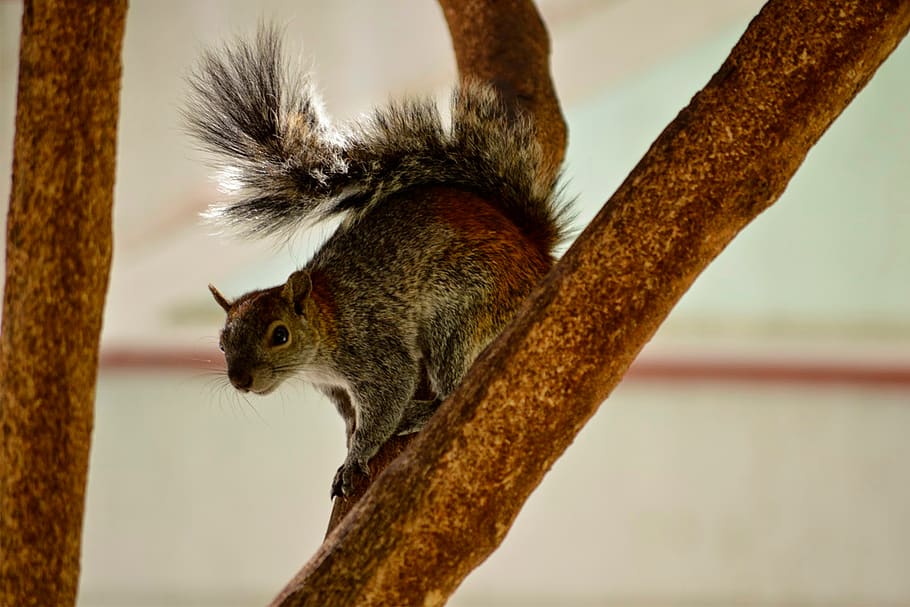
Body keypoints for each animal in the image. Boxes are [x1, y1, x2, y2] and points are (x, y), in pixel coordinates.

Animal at [185, 26, 570, 498]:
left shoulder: (373, 350)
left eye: (280, 335)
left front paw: (356, 458)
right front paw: (352, 436)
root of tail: (534, 253)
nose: (240, 381)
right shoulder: (331, 386)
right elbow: (351, 413)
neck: (325, 324)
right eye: (222, 343)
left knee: (452, 386)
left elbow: (390, 392)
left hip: (462, 317)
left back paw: (422, 413)